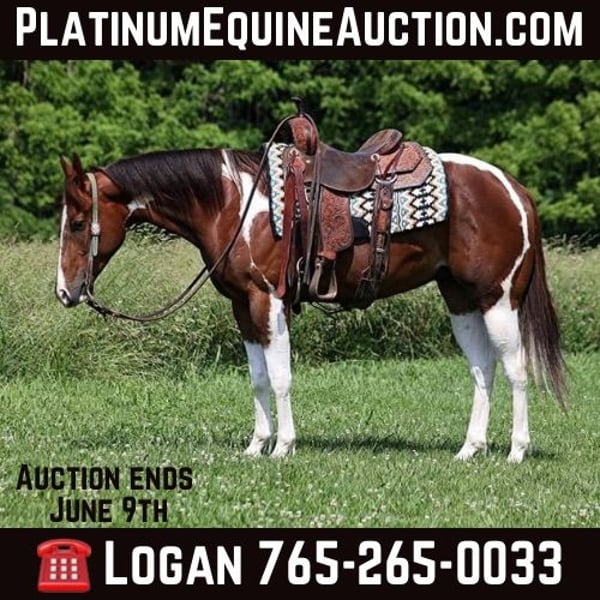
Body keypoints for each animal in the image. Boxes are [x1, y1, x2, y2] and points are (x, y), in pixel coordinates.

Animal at [55, 127, 566, 464]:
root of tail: (514, 189)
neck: (233, 204)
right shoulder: (243, 307)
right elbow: (258, 379)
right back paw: (469, 449)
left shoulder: (268, 301)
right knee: (483, 370)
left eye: (78, 223)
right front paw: (256, 445)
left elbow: (281, 378)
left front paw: (283, 446)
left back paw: (516, 451)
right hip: (461, 300)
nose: (65, 291)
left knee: (516, 370)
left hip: (499, 299)